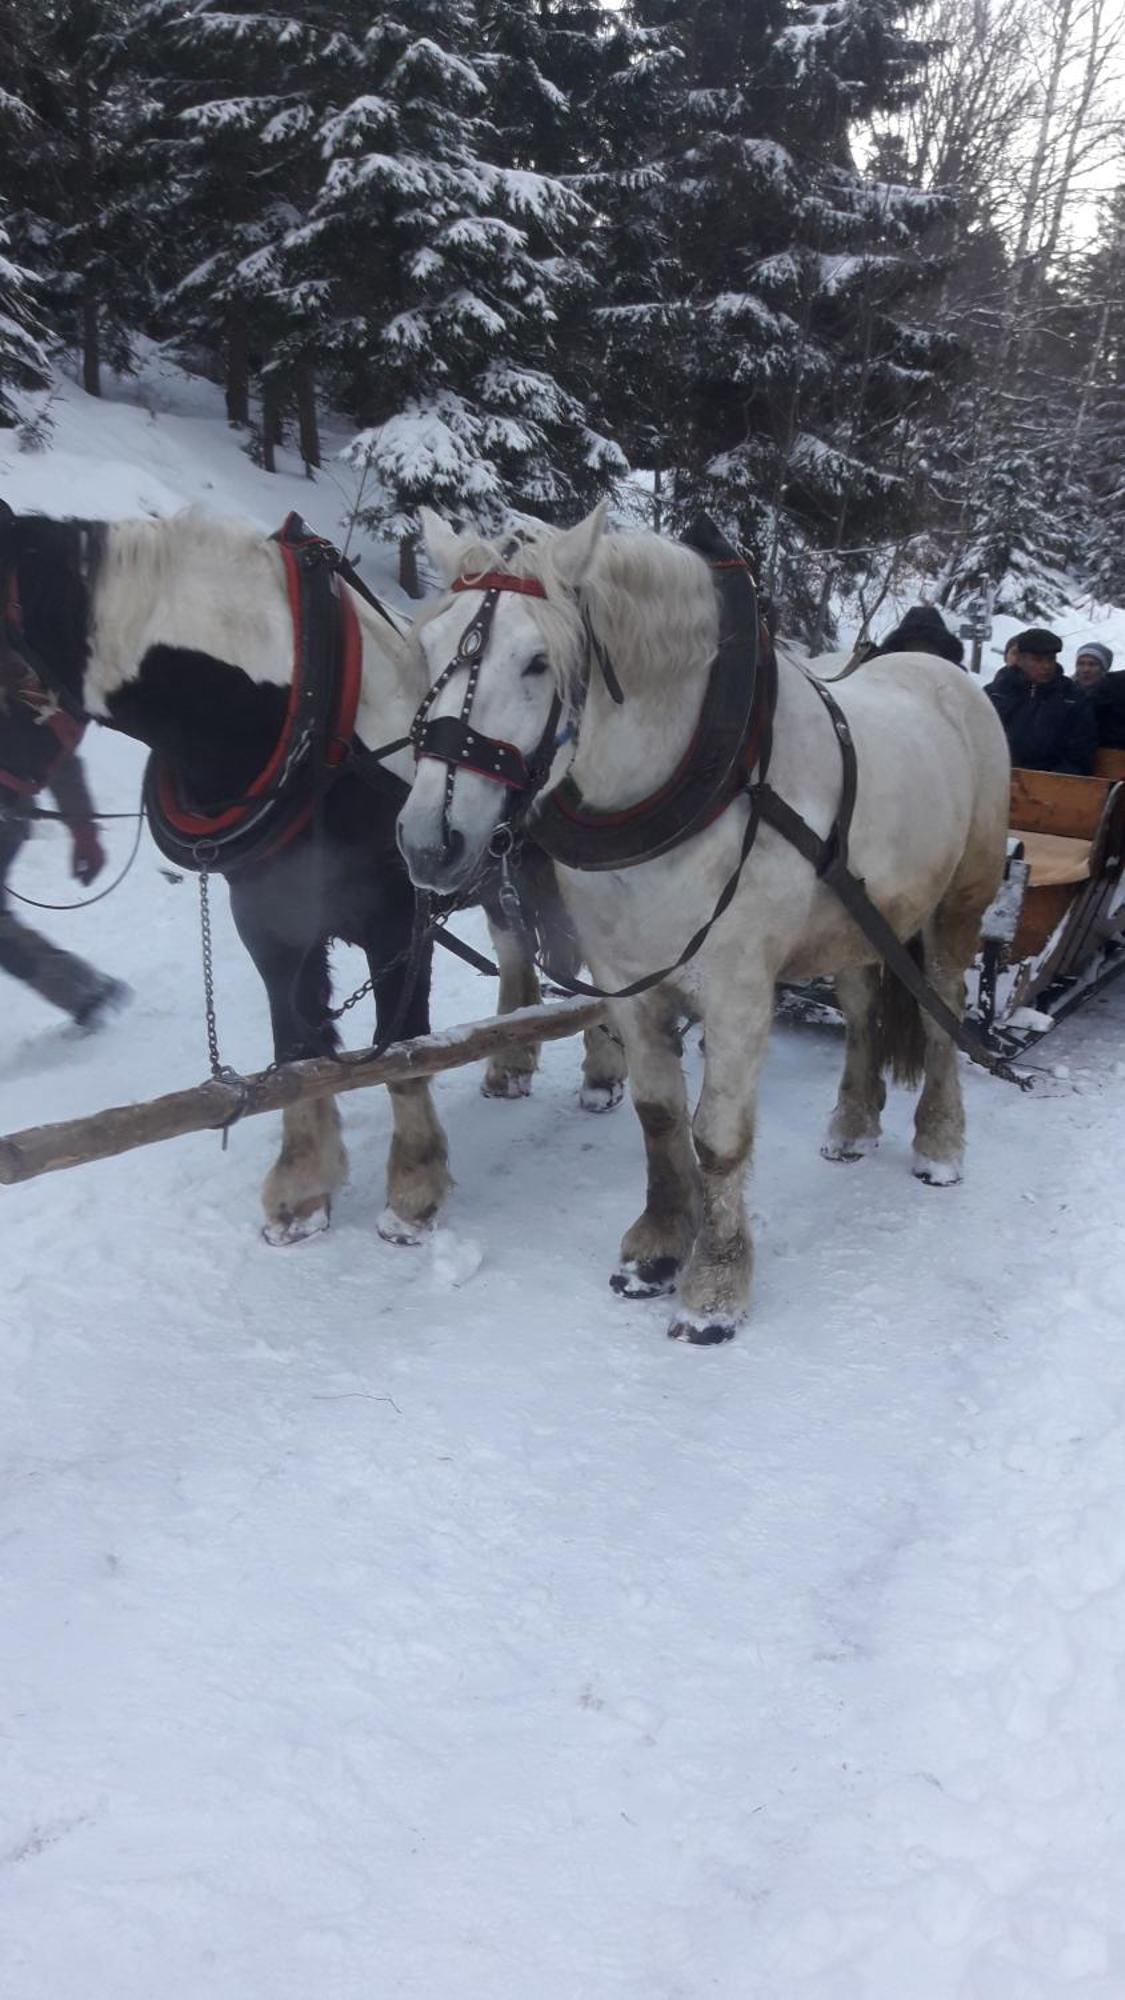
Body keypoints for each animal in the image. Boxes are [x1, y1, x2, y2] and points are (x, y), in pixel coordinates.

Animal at [394, 504, 1008, 1344]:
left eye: (536, 663)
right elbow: (657, 1114)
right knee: (859, 1014)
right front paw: (657, 1247)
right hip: (859, 921)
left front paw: (714, 1287)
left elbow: (717, 1137)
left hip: (958, 904)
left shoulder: (737, 989)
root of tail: (943, 673)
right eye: (427, 650)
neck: (699, 778)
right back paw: (852, 1123)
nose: (429, 842)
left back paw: (939, 1142)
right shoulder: (626, 979)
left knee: (943, 1011)